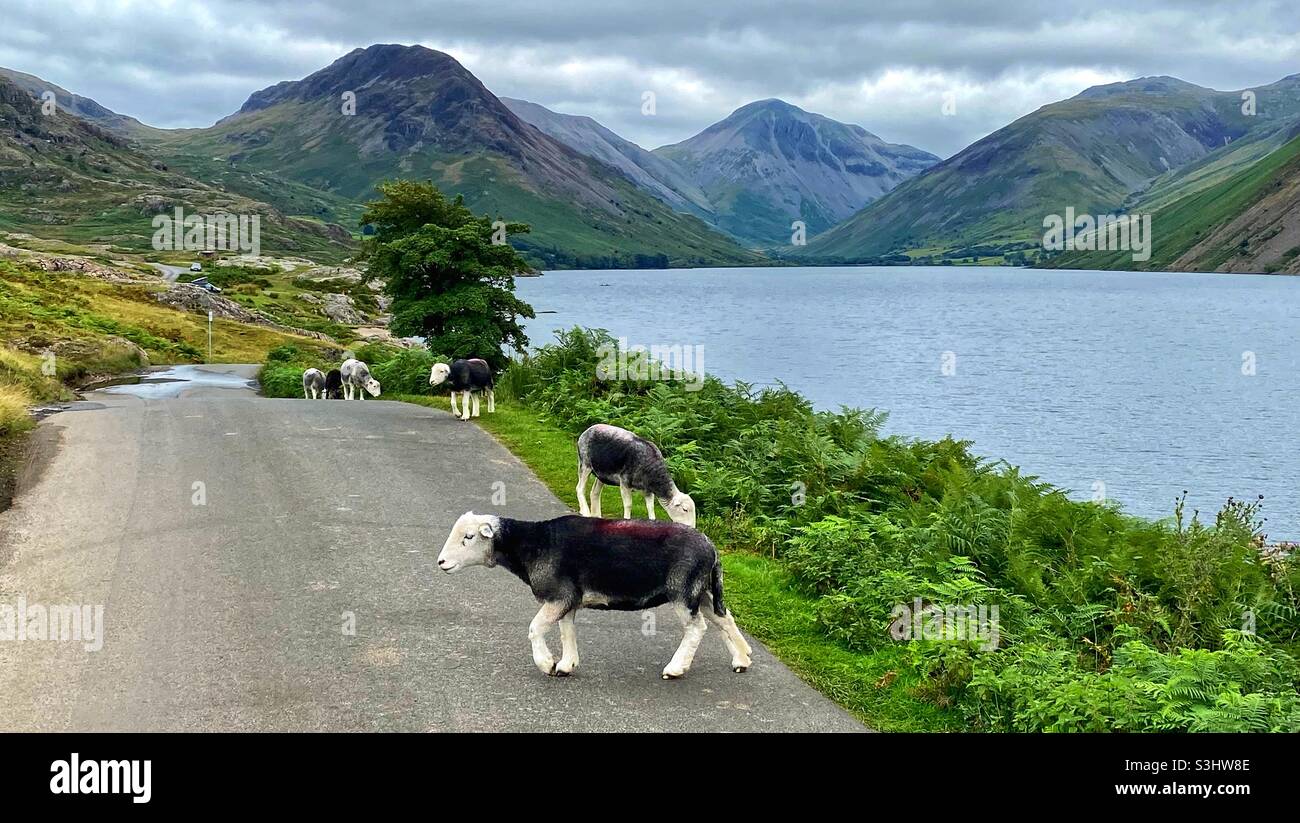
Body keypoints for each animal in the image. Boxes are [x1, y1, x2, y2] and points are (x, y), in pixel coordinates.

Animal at [436, 509, 754, 676]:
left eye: (468, 537)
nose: (441, 563)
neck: (532, 545)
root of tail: (712, 548)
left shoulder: (559, 595)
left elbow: (535, 628)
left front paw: (546, 663)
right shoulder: (568, 599)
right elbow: (567, 630)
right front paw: (566, 665)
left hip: (683, 590)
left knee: (697, 628)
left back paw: (675, 668)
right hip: (702, 591)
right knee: (724, 619)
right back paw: (741, 660)